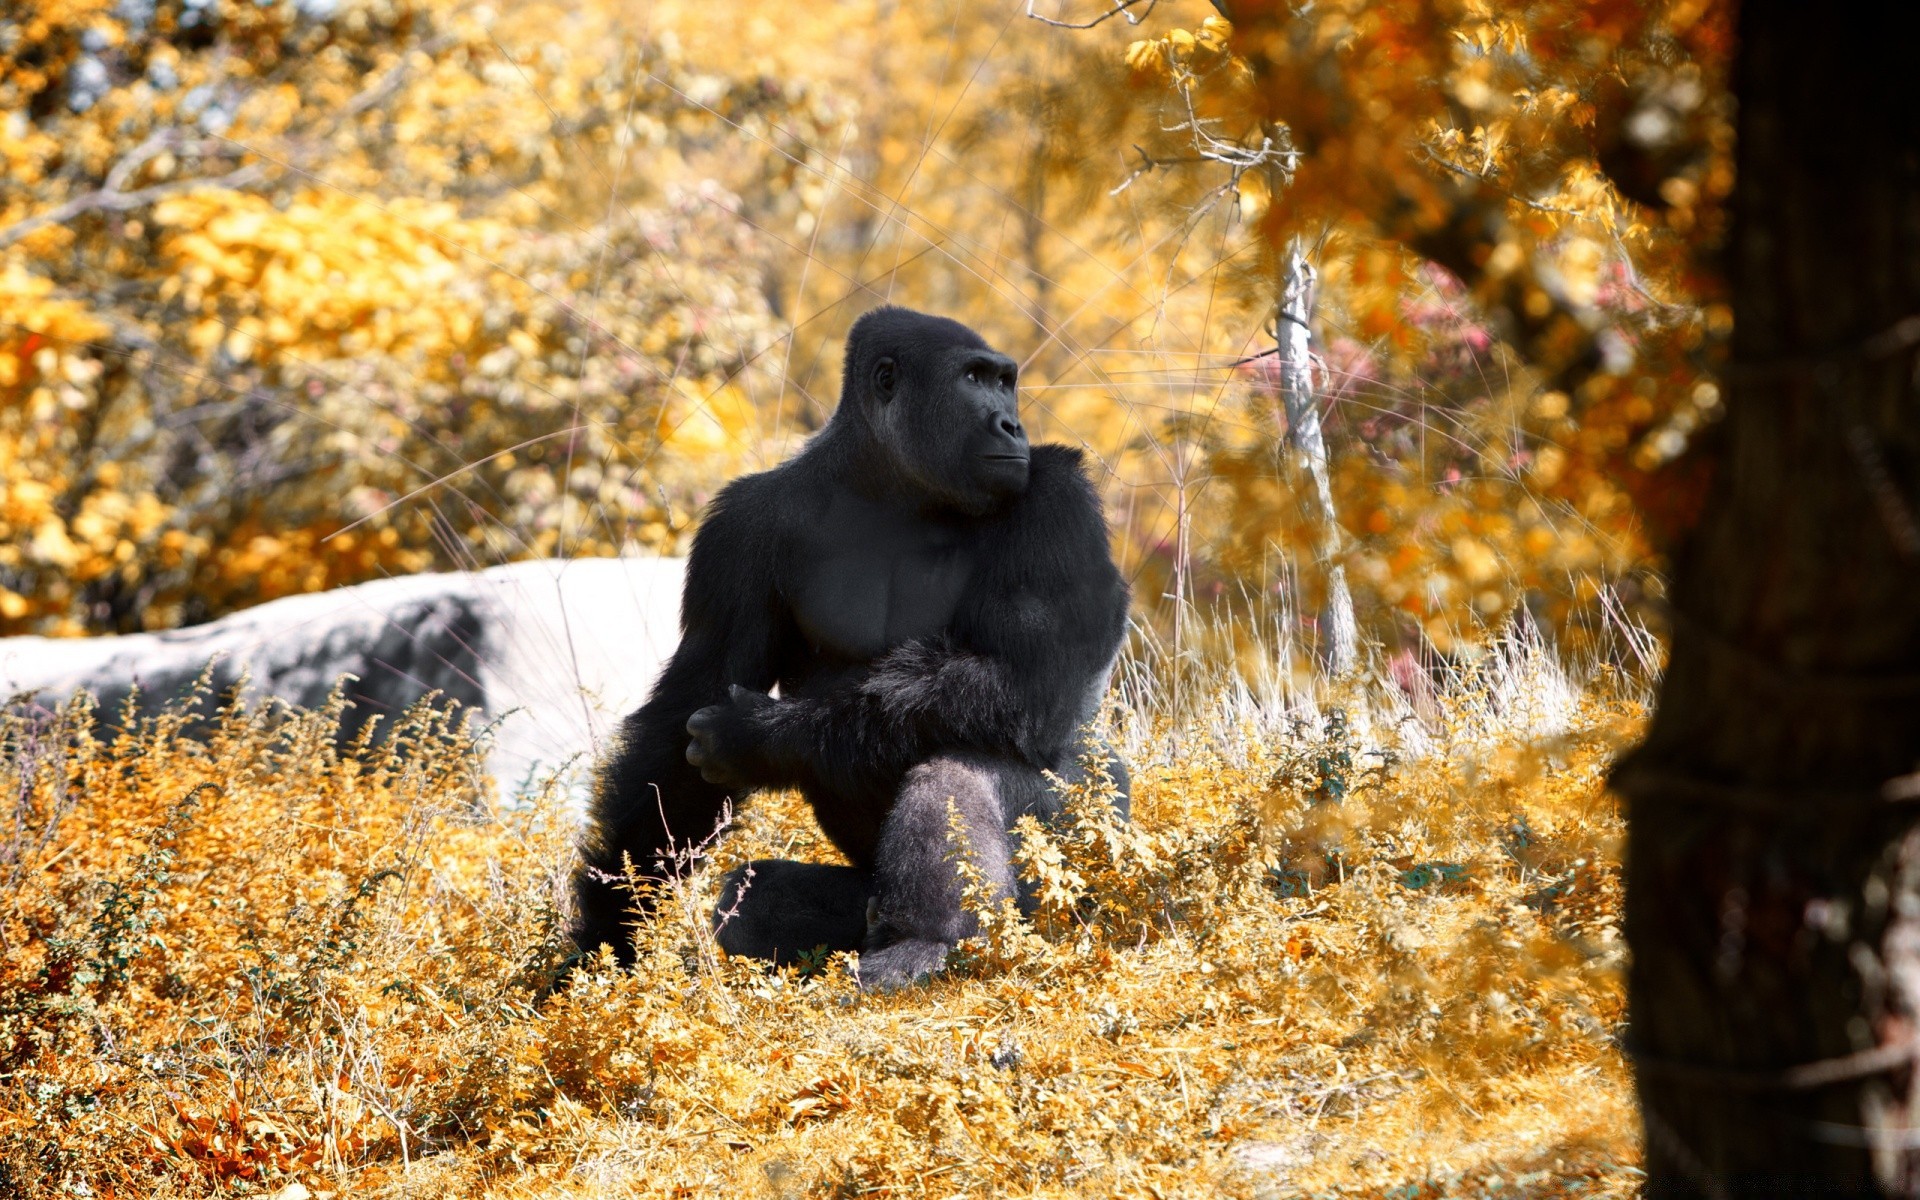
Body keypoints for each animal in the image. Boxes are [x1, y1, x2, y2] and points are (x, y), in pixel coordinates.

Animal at [564, 303, 1121, 990]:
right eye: (973, 379)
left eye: (1004, 382)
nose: (1011, 424)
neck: (885, 482)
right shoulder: (739, 527)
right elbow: (681, 723)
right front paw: (607, 932)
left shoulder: (1057, 497)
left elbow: (1030, 681)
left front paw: (760, 738)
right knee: (756, 899)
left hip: (1089, 870)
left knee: (962, 757)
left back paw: (928, 939)